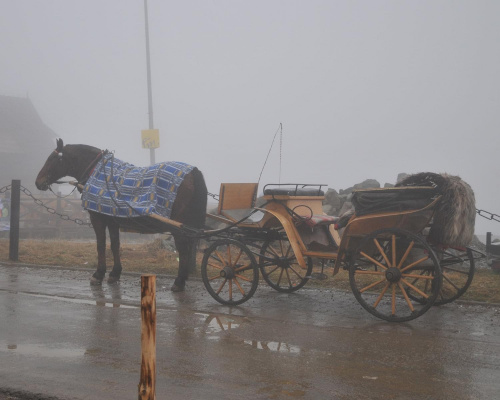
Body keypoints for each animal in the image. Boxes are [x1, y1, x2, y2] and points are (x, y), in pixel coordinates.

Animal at [35, 139, 207, 292]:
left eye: (52, 159)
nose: (38, 182)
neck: (97, 172)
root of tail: (193, 172)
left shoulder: (98, 219)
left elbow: (101, 245)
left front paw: (98, 274)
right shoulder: (112, 220)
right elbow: (115, 245)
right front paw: (114, 273)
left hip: (178, 227)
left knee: (183, 250)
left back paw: (179, 282)